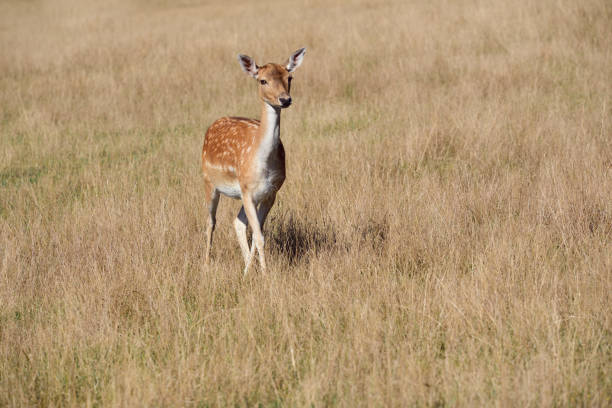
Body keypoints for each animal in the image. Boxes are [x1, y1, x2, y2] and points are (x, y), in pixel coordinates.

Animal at [201, 47, 306, 276]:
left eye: (289, 77)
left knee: (238, 222)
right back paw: (206, 263)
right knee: (211, 221)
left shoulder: (270, 192)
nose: (285, 99)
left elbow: (258, 234)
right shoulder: (247, 189)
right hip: (209, 181)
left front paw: (250, 271)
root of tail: (213, 124)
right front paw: (265, 275)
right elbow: (259, 236)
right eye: (263, 80)